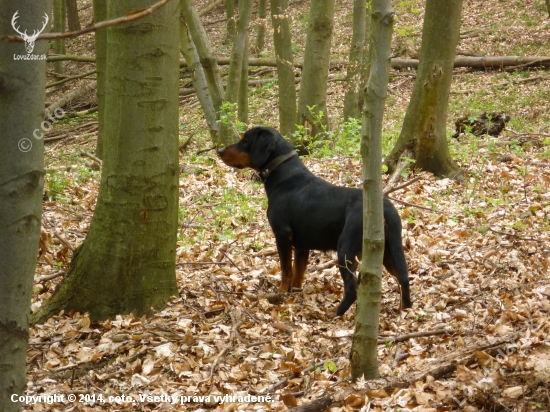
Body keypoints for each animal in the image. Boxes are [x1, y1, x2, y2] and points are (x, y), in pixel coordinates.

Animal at [218, 125, 412, 316]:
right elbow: (298, 274)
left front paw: (281, 294)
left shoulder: (282, 235)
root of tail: (386, 208)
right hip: (387, 249)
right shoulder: (302, 246)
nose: (219, 151)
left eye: (245, 141)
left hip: (346, 250)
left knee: (352, 289)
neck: (285, 177)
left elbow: (286, 270)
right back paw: (405, 311)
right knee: (403, 278)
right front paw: (294, 295)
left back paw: (335, 312)